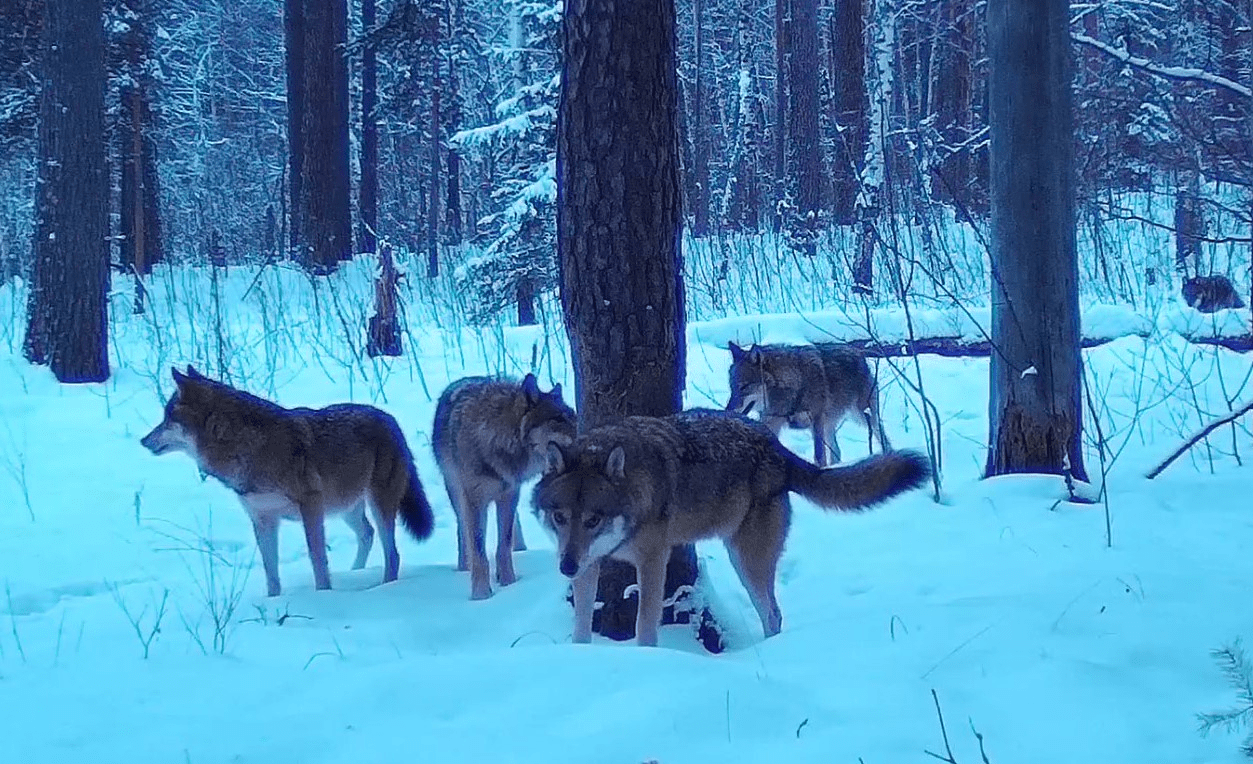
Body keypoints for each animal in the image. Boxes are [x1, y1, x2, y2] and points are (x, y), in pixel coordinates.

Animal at [140, 363, 436, 596]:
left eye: (167, 418)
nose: (143, 441)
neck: (248, 449)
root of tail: (389, 419)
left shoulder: (311, 507)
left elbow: (318, 560)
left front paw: (324, 597)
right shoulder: (263, 519)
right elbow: (271, 572)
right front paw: (274, 604)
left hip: (376, 505)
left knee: (392, 553)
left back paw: (384, 588)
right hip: (345, 508)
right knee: (367, 533)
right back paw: (356, 573)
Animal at [436, 370, 576, 598]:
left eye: (573, 415)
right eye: (558, 418)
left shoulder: (509, 493)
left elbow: (504, 543)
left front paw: (509, 582)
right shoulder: (474, 501)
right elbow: (478, 549)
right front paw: (481, 595)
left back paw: (520, 548)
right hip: (456, 492)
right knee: (461, 527)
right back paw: (463, 565)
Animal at [528, 408, 932, 646]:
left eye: (593, 520)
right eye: (559, 517)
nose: (565, 566)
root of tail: (774, 445)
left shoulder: (653, 561)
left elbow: (645, 625)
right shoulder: (589, 566)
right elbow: (581, 626)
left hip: (746, 560)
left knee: (773, 613)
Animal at [726, 340, 892, 463]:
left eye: (744, 387)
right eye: (732, 388)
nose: (728, 410)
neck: (794, 383)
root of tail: (857, 351)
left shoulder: (816, 419)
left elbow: (819, 457)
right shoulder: (772, 422)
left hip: (860, 416)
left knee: (881, 434)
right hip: (832, 424)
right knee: (837, 451)